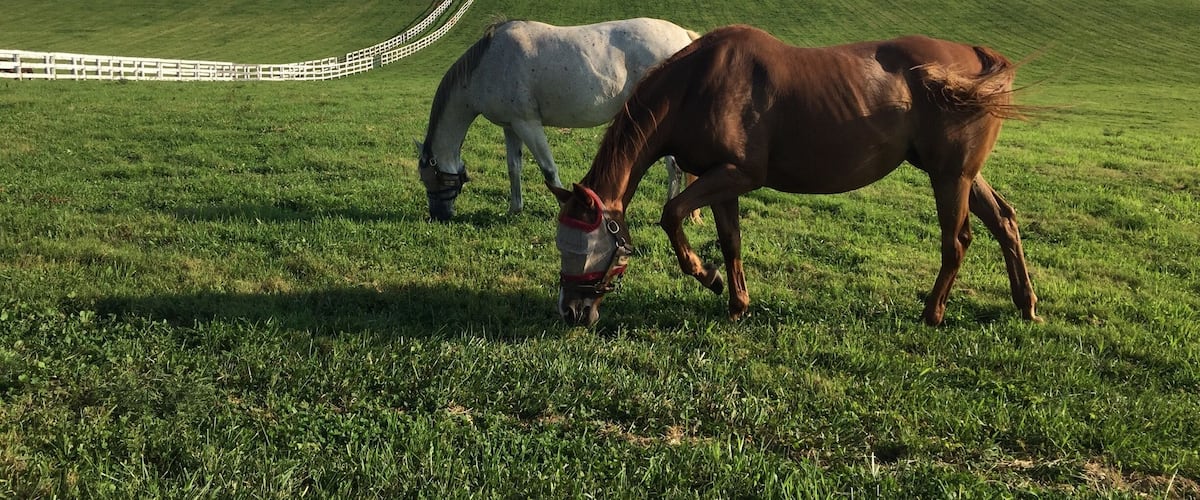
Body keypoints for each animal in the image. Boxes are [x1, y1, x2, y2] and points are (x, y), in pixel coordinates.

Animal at [416, 18, 700, 221]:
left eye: (429, 178)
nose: (438, 216)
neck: (487, 65)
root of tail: (683, 36)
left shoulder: (528, 124)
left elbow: (549, 170)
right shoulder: (511, 127)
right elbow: (513, 167)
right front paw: (515, 208)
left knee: (675, 168)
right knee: (676, 168)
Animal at [550, 25, 1041, 327]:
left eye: (586, 247)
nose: (571, 312)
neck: (698, 85)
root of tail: (977, 57)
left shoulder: (738, 174)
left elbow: (672, 215)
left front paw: (706, 276)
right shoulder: (721, 180)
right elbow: (730, 241)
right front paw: (736, 303)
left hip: (949, 176)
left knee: (956, 242)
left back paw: (933, 313)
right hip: (962, 174)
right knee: (1005, 221)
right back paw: (1026, 303)